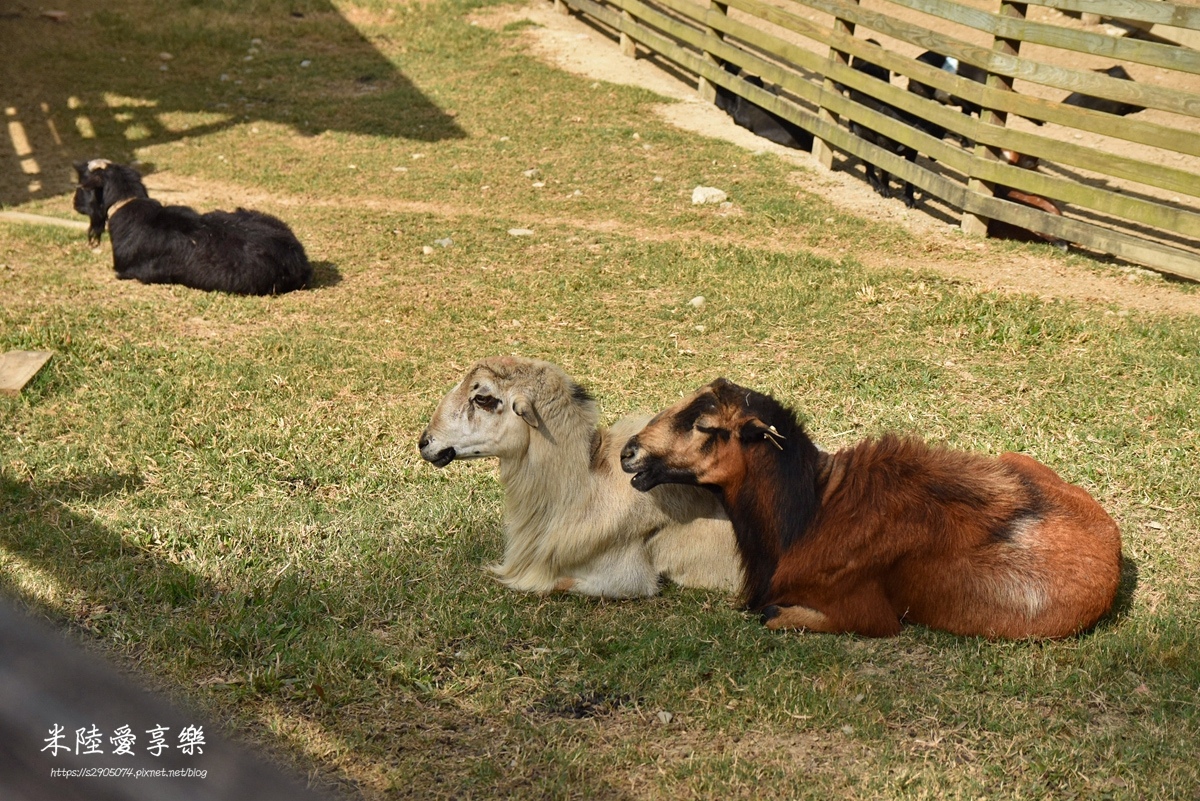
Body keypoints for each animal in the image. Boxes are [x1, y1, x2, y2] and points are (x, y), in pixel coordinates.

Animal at [624, 381, 1118, 637]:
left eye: (706, 426)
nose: (630, 453)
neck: (812, 512)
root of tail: (1114, 543)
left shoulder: (865, 613)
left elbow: (770, 615)